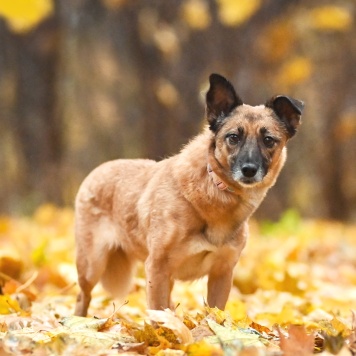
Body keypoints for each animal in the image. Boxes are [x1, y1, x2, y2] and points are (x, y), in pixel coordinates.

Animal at [73, 73, 304, 316]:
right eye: (233, 137)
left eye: (268, 140)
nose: (249, 170)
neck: (215, 195)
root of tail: (97, 170)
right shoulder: (157, 267)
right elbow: (158, 314)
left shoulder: (222, 273)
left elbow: (214, 315)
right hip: (92, 264)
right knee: (83, 295)